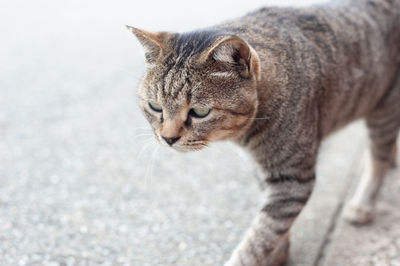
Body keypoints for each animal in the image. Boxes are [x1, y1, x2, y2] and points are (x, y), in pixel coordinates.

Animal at [126, 0, 398, 264]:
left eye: (200, 112)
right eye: (155, 106)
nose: (168, 138)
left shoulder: (291, 178)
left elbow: (260, 237)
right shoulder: (266, 171)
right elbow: (274, 227)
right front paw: (279, 253)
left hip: (383, 110)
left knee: (378, 160)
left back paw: (363, 204)